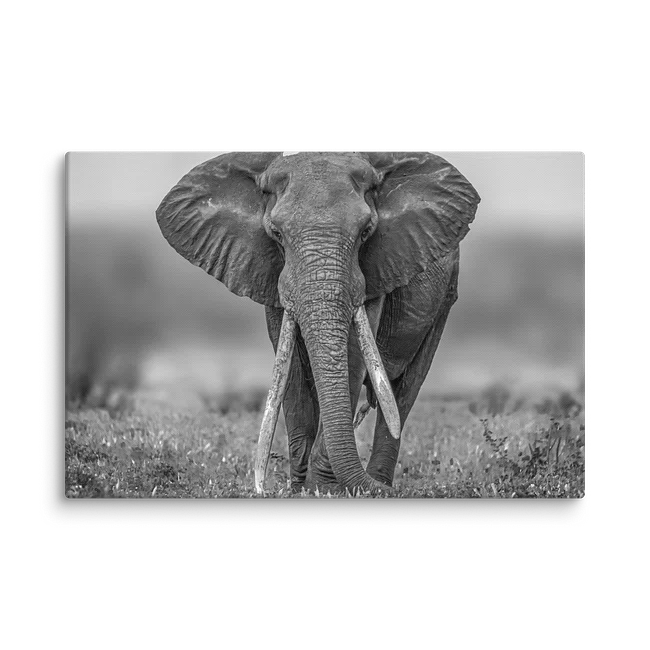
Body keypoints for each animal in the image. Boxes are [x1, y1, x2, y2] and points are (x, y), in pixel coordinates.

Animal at [156, 150, 480, 495]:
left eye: (366, 231)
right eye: (276, 233)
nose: (263, 486)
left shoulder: (375, 270)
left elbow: (352, 355)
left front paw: (323, 487)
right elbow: (291, 366)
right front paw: (300, 487)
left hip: (447, 293)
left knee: (405, 388)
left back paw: (379, 481)